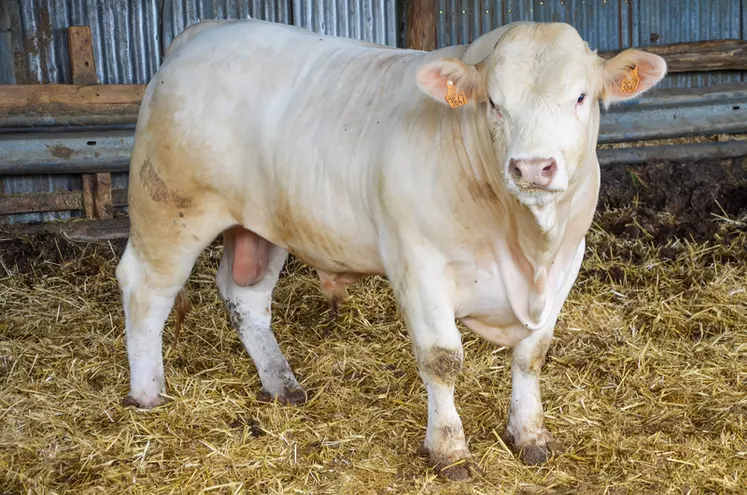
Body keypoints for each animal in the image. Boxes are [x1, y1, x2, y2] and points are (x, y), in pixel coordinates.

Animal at [117, 19, 668, 480]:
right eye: (493, 102)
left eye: (581, 97)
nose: (532, 167)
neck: (525, 244)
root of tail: (203, 30)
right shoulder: (419, 263)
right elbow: (442, 359)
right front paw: (450, 451)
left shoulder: (565, 263)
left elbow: (532, 354)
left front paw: (529, 435)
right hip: (169, 207)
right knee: (144, 289)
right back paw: (148, 393)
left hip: (263, 225)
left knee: (245, 296)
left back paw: (281, 383)